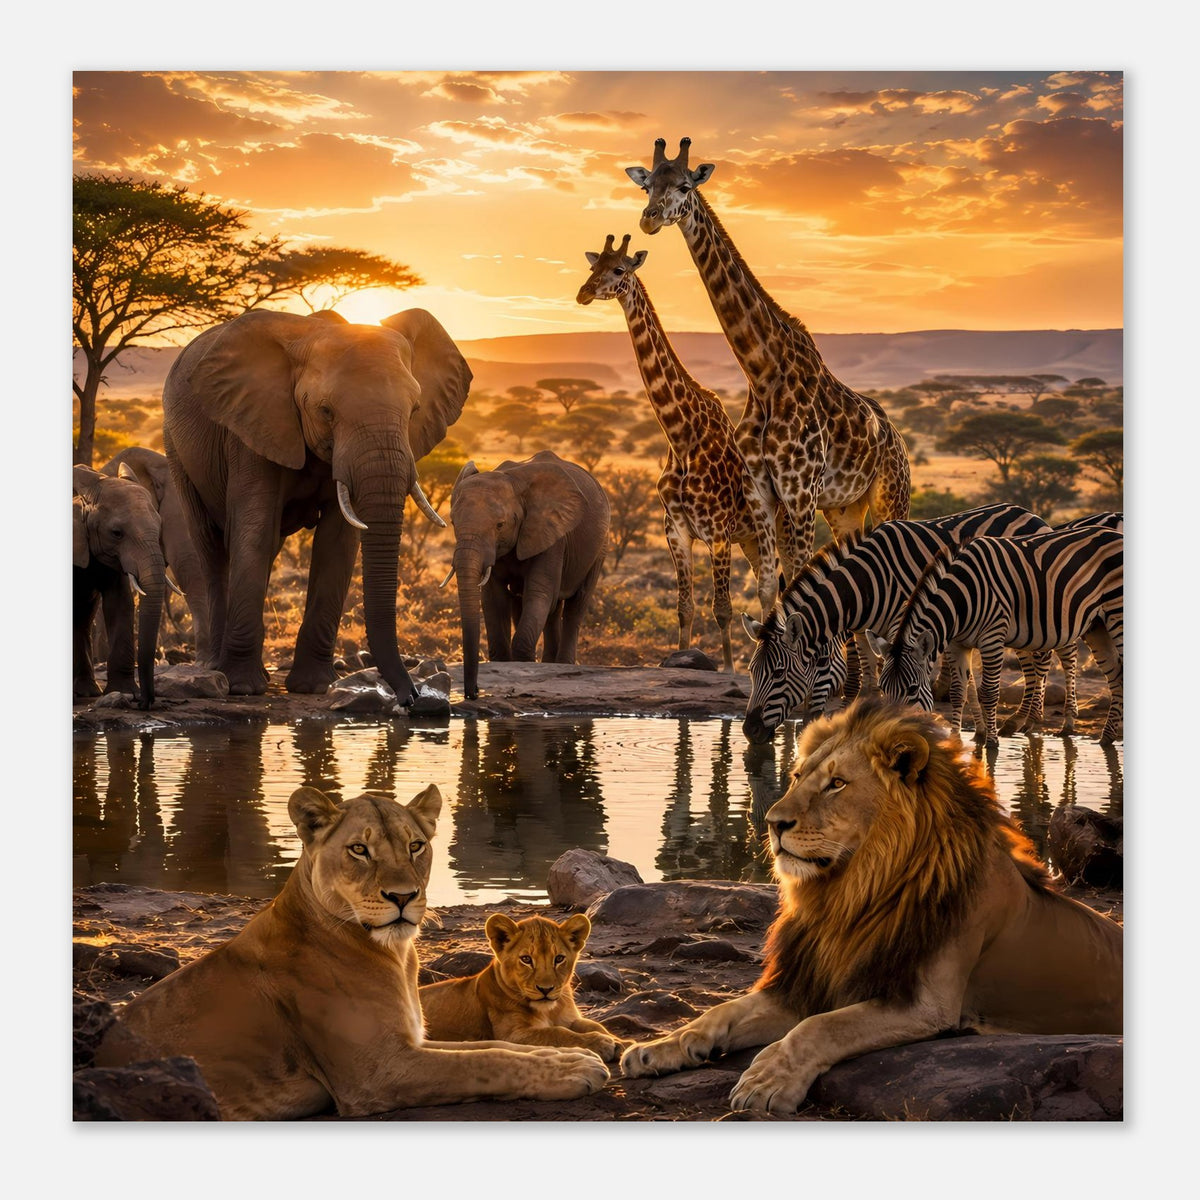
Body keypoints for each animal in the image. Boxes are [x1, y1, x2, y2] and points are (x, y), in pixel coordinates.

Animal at [420, 913, 627, 1062]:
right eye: (526, 959)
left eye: (559, 959)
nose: (546, 989)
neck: (549, 1011)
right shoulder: (512, 1036)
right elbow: (557, 1033)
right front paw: (600, 1042)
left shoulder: (570, 1019)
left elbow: (594, 1025)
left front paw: (621, 1042)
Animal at [621, 698, 1123, 1115]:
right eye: (799, 777)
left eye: (837, 784)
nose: (771, 823)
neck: (851, 894)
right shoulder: (812, 982)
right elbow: (721, 1012)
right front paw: (663, 1046)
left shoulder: (926, 1004)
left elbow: (820, 1028)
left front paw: (766, 1081)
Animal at [741, 504, 1053, 743]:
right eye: (751, 672)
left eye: (779, 673)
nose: (749, 731)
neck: (866, 584)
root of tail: (1030, 513)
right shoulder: (865, 631)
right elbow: (870, 683)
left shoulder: (903, 626)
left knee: (1040, 660)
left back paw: (1026, 721)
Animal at [875, 526, 1123, 745]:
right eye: (882, 688)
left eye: (912, 689)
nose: (890, 735)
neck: (960, 600)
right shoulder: (957, 644)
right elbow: (957, 692)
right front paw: (955, 741)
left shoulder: (992, 638)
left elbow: (989, 693)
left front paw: (992, 743)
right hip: (1096, 625)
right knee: (1116, 675)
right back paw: (1107, 738)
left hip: (1116, 614)